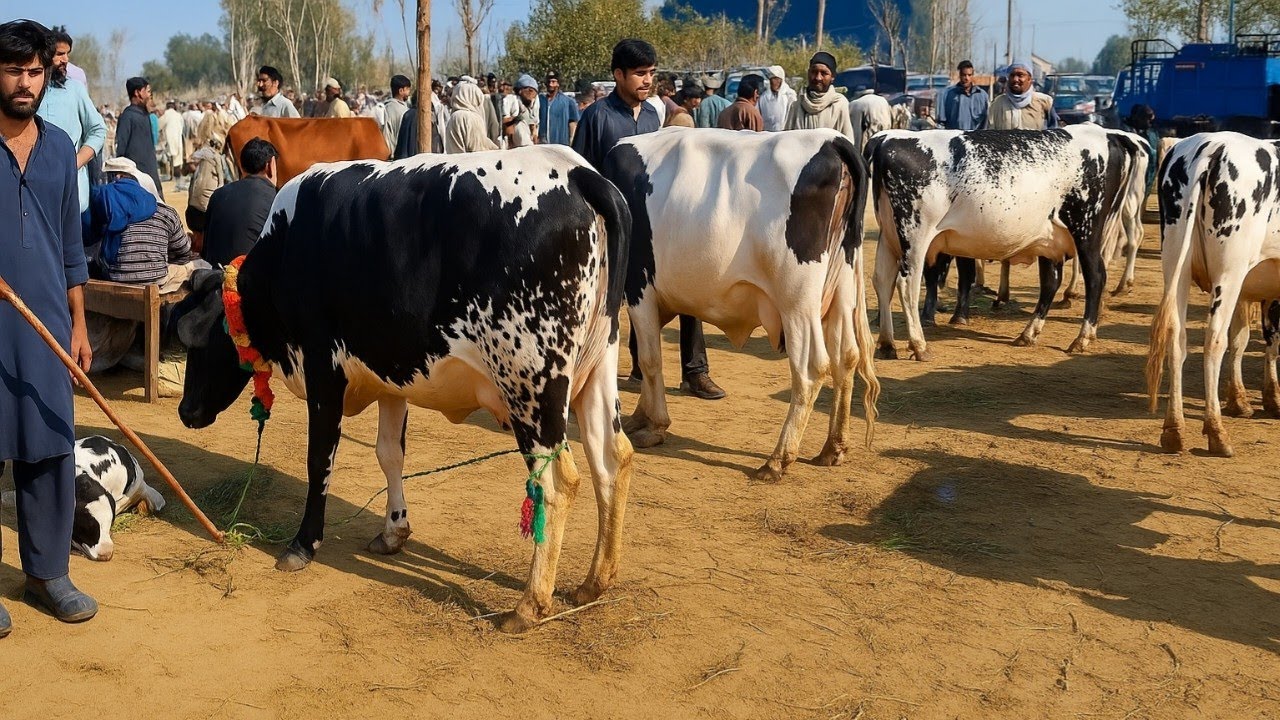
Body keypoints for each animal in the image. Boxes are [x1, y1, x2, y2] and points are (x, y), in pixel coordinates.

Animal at [173, 145, 635, 633]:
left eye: (199, 344)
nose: (186, 411)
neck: (286, 250)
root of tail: (578, 172)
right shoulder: (391, 379)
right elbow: (388, 454)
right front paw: (394, 530)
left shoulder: (323, 368)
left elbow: (319, 460)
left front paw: (303, 544)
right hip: (597, 368)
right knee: (612, 460)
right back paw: (594, 581)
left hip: (530, 384)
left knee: (557, 481)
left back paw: (530, 603)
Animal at [603, 128, 880, 483]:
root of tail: (831, 139)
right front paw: (641, 416)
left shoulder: (639, 287)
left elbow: (650, 359)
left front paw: (655, 425)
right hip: (840, 291)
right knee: (846, 357)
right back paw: (833, 448)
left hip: (797, 299)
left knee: (811, 367)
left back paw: (778, 459)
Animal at [1145, 132, 1280, 457]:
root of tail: (1212, 145)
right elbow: (1269, 341)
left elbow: (1244, 338)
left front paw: (1243, 400)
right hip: (1229, 271)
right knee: (1213, 341)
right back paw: (1217, 433)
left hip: (1175, 264)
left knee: (1177, 339)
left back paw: (1174, 431)